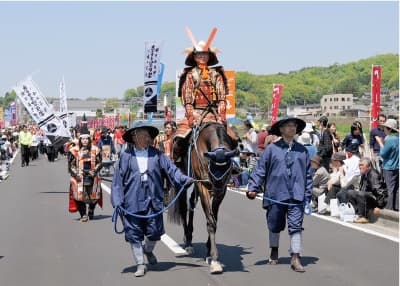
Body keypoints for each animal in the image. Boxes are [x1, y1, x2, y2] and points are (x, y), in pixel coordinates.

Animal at [168, 122, 238, 274]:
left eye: (227, 171)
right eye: (213, 170)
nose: (215, 191)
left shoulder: (222, 190)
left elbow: (214, 219)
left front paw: (208, 253)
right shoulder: (204, 185)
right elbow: (210, 221)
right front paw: (215, 259)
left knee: (191, 203)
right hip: (184, 177)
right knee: (184, 207)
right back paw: (188, 243)